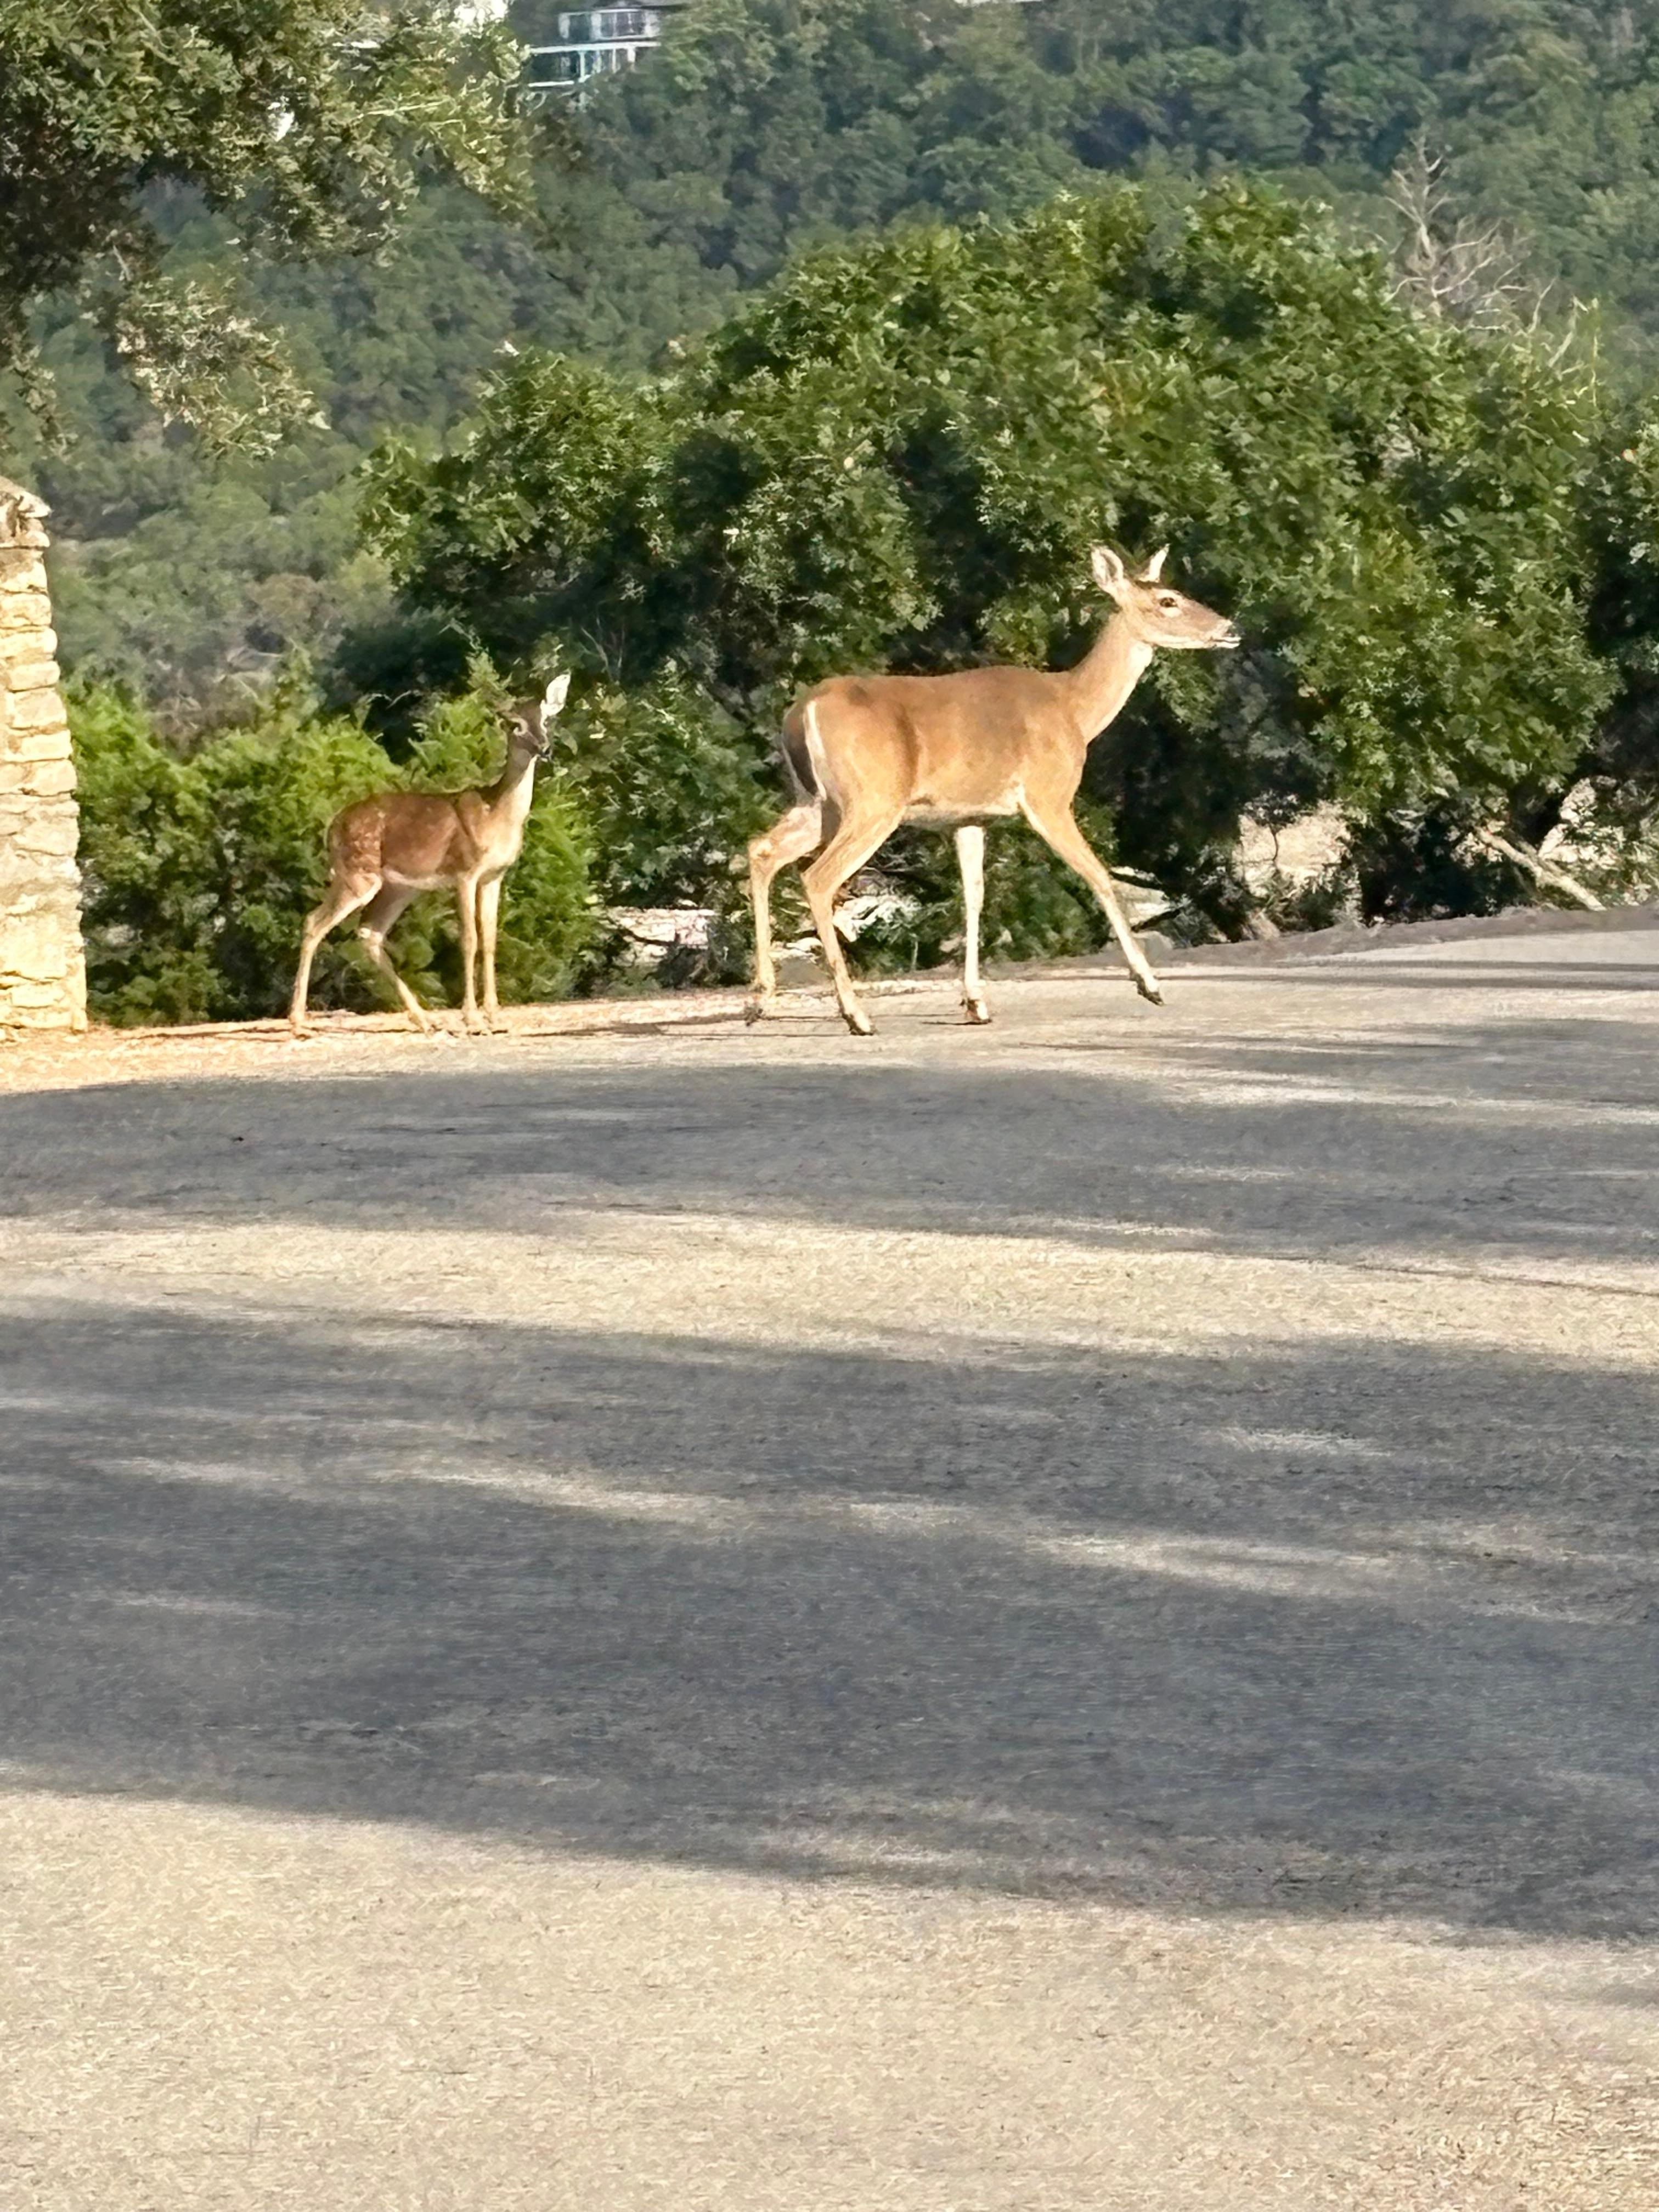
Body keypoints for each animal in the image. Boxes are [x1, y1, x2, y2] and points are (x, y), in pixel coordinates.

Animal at [289, 673, 570, 1037]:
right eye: (515, 725)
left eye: (546, 719)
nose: (545, 748)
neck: (496, 813)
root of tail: (332, 827)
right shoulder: (465, 871)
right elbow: (470, 939)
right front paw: (473, 1019)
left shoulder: (495, 875)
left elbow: (491, 939)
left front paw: (496, 1018)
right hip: (358, 873)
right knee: (314, 922)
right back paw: (298, 1023)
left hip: (399, 887)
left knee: (370, 933)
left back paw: (424, 1019)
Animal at [744, 547, 1240, 1036]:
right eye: (1169, 601)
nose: (1230, 629)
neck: (1075, 709)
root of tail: (803, 711)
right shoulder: (1048, 796)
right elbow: (1099, 876)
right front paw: (1149, 984)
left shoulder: (969, 817)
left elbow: (974, 896)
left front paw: (976, 1003)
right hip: (872, 800)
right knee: (818, 877)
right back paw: (855, 1015)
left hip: (817, 802)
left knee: (762, 850)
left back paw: (761, 1001)